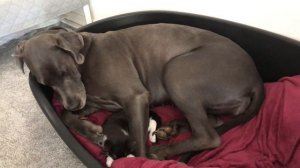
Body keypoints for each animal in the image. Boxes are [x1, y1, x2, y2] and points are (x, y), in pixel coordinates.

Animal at [12, 23, 264, 160]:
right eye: (46, 83)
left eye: (65, 71)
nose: (73, 104)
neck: (84, 59)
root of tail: (256, 79)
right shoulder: (93, 101)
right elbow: (65, 116)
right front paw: (92, 132)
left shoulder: (135, 97)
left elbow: (139, 142)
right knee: (213, 122)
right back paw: (170, 129)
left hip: (176, 71)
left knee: (209, 135)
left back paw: (162, 150)